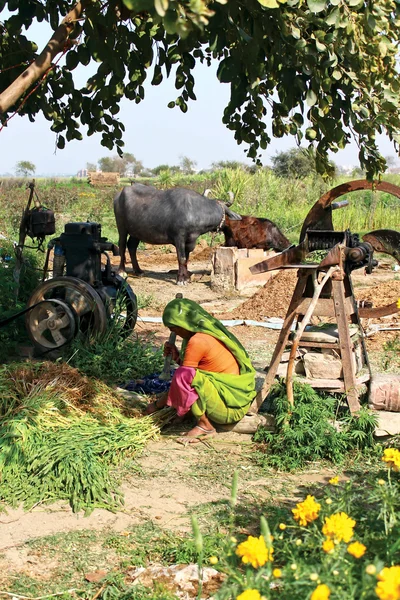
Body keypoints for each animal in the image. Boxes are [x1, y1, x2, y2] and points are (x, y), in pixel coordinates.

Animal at [113, 184, 241, 284]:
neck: (195, 211)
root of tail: (119, 195)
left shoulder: (189, 241)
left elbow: (186, 258)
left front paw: (186, 276)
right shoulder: (179, 237)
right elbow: (181, 258)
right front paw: (181, 279)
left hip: (136, 232)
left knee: (132, 247)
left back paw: (138, 271)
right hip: (122, 227)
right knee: (122, 246)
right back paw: (122, 271)